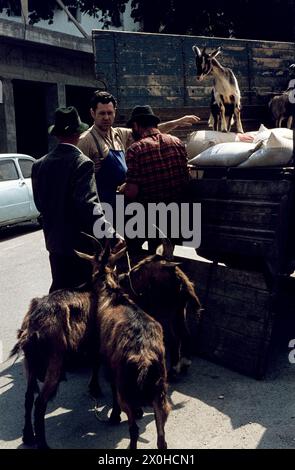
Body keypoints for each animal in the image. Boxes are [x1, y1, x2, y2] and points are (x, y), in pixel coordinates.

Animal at [78, 241, 171, 450]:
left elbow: (111, 387)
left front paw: (114, 416)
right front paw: (138, 411)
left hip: (126, 388)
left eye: (91, 271)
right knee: (161, 437)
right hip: (160, 390)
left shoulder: (110, 362)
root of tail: (144, 360)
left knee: (133, 428)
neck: (111, 296)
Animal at [119, 241, 202, 380]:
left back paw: (174, 370)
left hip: (167, 315)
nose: (122, 280)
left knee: (175, 338)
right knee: (185, 334)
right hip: (179, 313)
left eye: (141, 269)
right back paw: (185, 364)